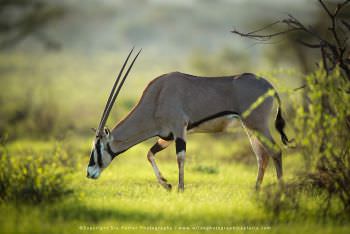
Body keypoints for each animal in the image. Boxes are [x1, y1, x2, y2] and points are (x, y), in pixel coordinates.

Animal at [87, 48, 290, 191]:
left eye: (97, 147)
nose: (89, 173)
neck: (157, 97)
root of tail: (270, 86)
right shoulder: (167, 136)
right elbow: (149, 154)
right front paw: (166, 185)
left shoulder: (179, 130)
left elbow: (180, 158)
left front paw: (180, 188)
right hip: (250, 129)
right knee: (262, 156)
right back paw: (256, 189)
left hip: (258, 125)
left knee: (275, 151)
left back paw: (280, 190)